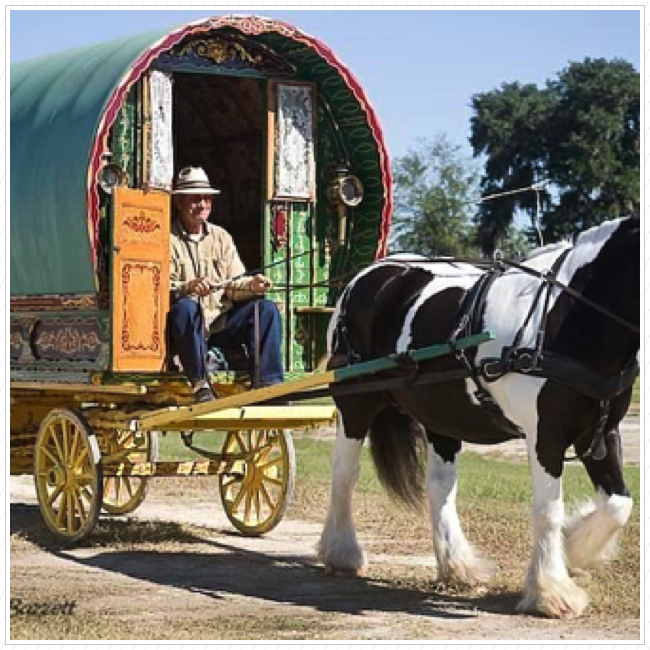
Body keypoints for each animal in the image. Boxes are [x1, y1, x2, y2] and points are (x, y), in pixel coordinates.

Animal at [318, 215, 636, 616]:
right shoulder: (545, 434)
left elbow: (619, 504)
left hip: (441, 412)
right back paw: (342, 553)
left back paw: (457, 565)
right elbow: (548, 510)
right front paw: (551, 591)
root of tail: (369, 274)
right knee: (345, 474)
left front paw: (576, 548)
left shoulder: (601, 431)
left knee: (440, 486)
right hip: (356, 404)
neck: (565, 316)